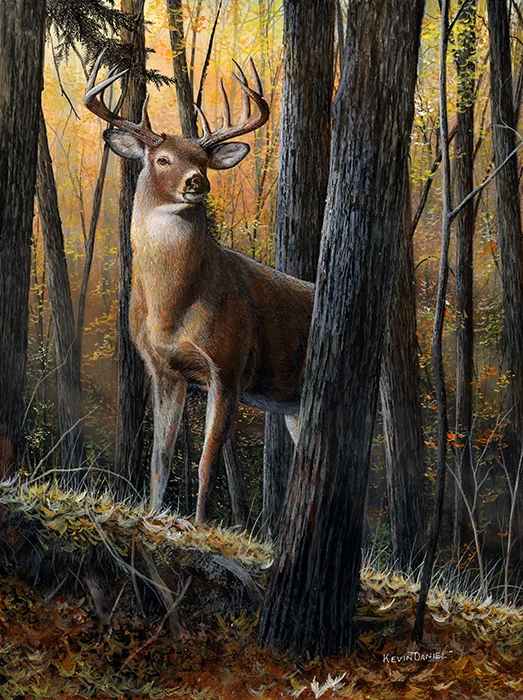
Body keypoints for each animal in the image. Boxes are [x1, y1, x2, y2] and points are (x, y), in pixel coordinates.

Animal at [84, 53, 314, 522]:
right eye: (162, 159)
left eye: (203, 160)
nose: (197, 181)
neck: (171, 310)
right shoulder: (163, 371)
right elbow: (161, 455)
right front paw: (154, 514)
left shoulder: (227, 367)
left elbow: (208, 460)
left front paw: (200, 523)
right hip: (294, 406)